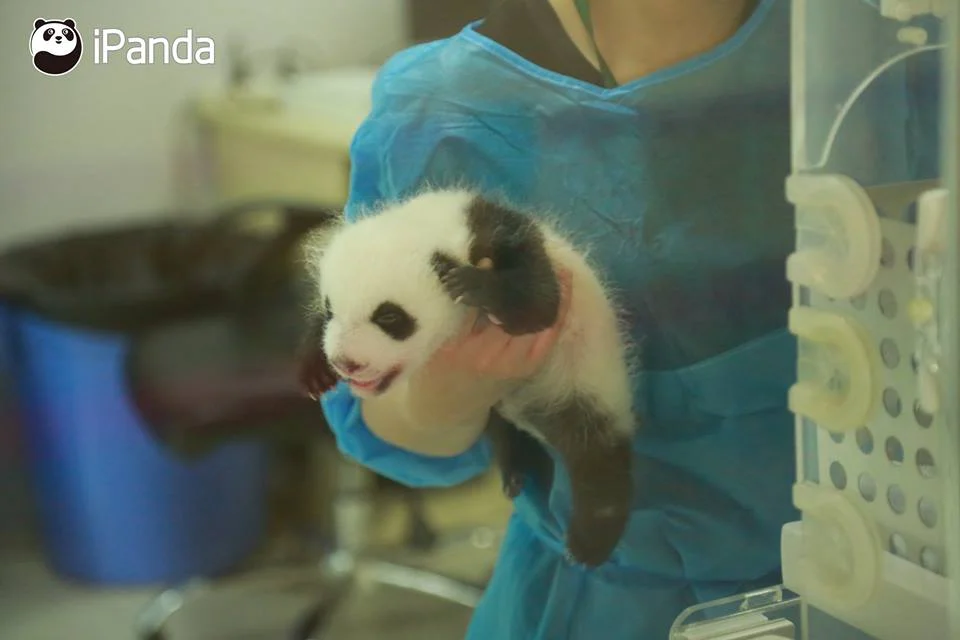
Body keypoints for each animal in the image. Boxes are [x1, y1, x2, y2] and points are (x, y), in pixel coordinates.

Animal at [298, 188, 637, 568]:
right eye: (330, 309)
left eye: (389, 317)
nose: (346, 363)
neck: (433, 229)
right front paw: (314, 366)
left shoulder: (510, 238)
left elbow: (541, 304)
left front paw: (474, 285)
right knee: (505, 431)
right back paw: (517, 468)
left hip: (588, 382)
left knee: (598, 463)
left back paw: (588, 542)